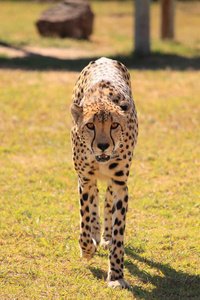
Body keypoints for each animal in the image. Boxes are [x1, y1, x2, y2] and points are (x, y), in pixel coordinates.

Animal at [70, 56, 138, 288]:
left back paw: (105, 235)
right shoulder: (85, 180)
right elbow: (85, 219)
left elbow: (118, 233)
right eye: (90, 125)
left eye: (114, 125)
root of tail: (104, 58)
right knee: (93, 207)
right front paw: (87, 249)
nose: (102, 146)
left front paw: (116, 276)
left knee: (107, 201)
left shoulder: (120, 183)